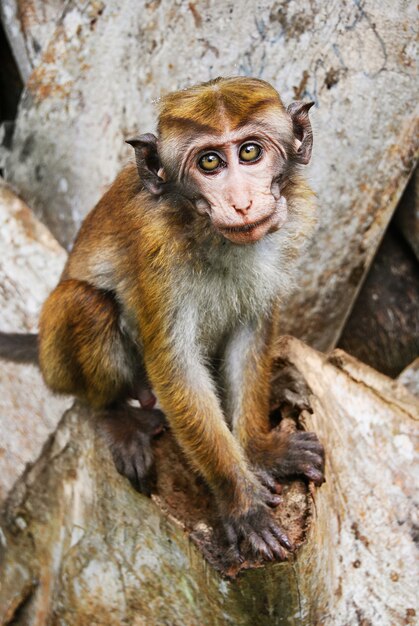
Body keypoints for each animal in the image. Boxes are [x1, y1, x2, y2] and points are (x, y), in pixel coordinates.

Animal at [0, 77, 324, 560]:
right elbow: (176, 368)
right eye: (209, 162)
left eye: (250, 152)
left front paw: (262, 451)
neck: (210, 234)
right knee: (87, 305)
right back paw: (116, 414)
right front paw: (243, 505)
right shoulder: (156, 251)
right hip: (59, 362)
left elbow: (249, 335)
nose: (242, 202)